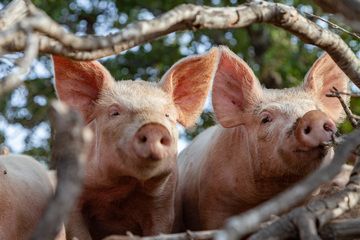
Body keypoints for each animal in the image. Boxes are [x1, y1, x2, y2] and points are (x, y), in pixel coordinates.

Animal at [51, 47, 218, 239]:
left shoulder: (163, 204)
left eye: (167, 115)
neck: (121, 190)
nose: (153, 127)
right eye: (114, 112)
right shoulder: (73, 202)